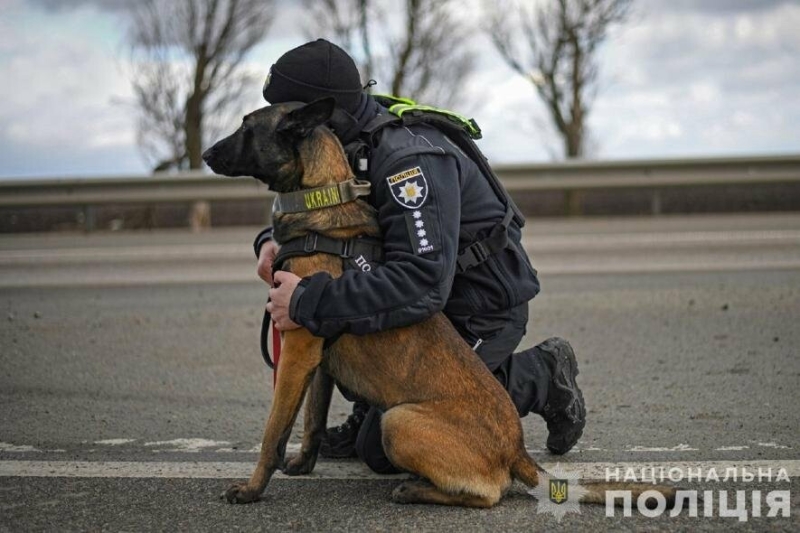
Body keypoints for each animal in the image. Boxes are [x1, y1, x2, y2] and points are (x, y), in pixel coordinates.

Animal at [203, 96, 680, 508]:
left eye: (246, 127)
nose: (205, 153)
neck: (321, 197)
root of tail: (516, 450)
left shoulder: (297, 347)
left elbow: (273, 433)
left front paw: (252, 489)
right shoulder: (316, 360)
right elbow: (310, 421)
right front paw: (302, 464)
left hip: (398, 420)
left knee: (489, 493)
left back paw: (415, 489)